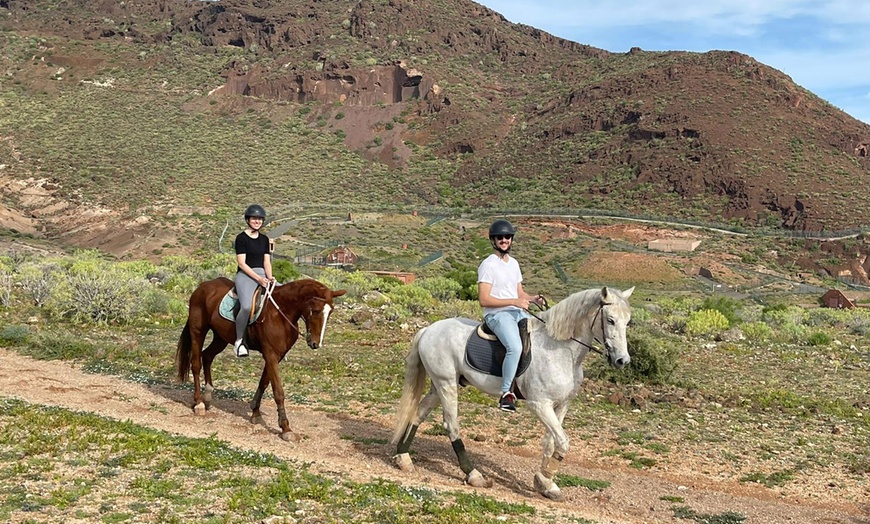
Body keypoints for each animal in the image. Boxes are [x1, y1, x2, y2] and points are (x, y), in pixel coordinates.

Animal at [177, 276, 348, 440]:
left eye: (330, 312)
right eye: (316, 311)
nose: (315, 344)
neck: (281, 312)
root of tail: (201, 287)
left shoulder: (276, 355)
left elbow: (264, 382)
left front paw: (255, 412)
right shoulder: (270, 353)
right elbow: (278, 391)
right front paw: (285, 427)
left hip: (221, 338)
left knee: (207, 356)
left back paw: (207, 396)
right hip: (198, 332)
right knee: (196, 364)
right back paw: (199, 403)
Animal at [394, 286, 632, 500]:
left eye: (628, 322)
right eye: (610, 320)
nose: (622, 361)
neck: (561, 349)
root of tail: (428, 330)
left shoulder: (561, 405)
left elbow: (552, 441)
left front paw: (546, 484)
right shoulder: (540, 404)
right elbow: (563, 441)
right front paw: (545, 479)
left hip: (439, 385)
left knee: (419, 413)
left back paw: (403, 457)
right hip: (447, 384)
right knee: (451, 425)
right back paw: (474, 475)